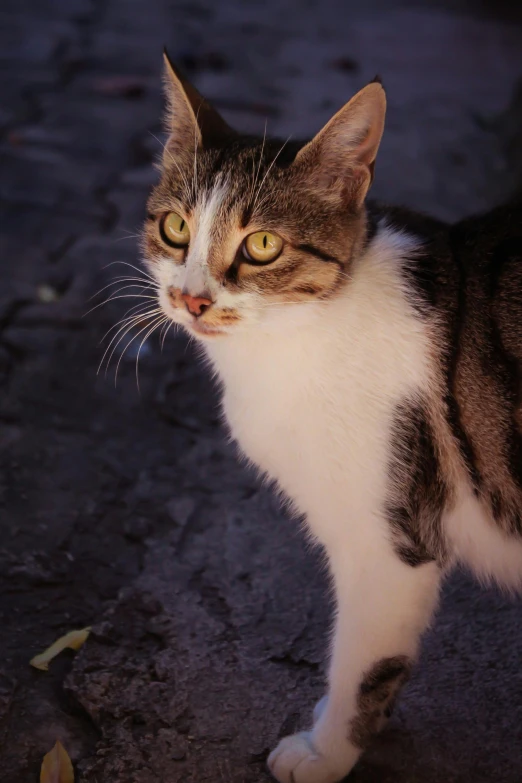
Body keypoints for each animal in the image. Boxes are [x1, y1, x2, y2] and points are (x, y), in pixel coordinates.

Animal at [139, 52, 520, 780]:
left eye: (261, 244)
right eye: (175, 229)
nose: (192, 300)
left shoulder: (389, 545)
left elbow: (362, 663)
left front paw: (327, 749)